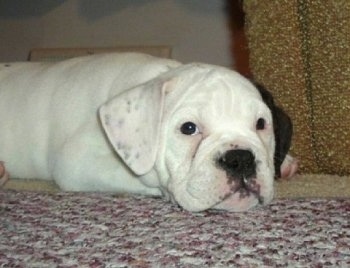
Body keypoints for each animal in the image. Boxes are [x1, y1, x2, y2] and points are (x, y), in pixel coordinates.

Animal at [0, 52, 296, 211]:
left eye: (261, 124)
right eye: (189, 128)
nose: (241, 159)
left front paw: (284, 163)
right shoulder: (76, 162)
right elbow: (142, 177)